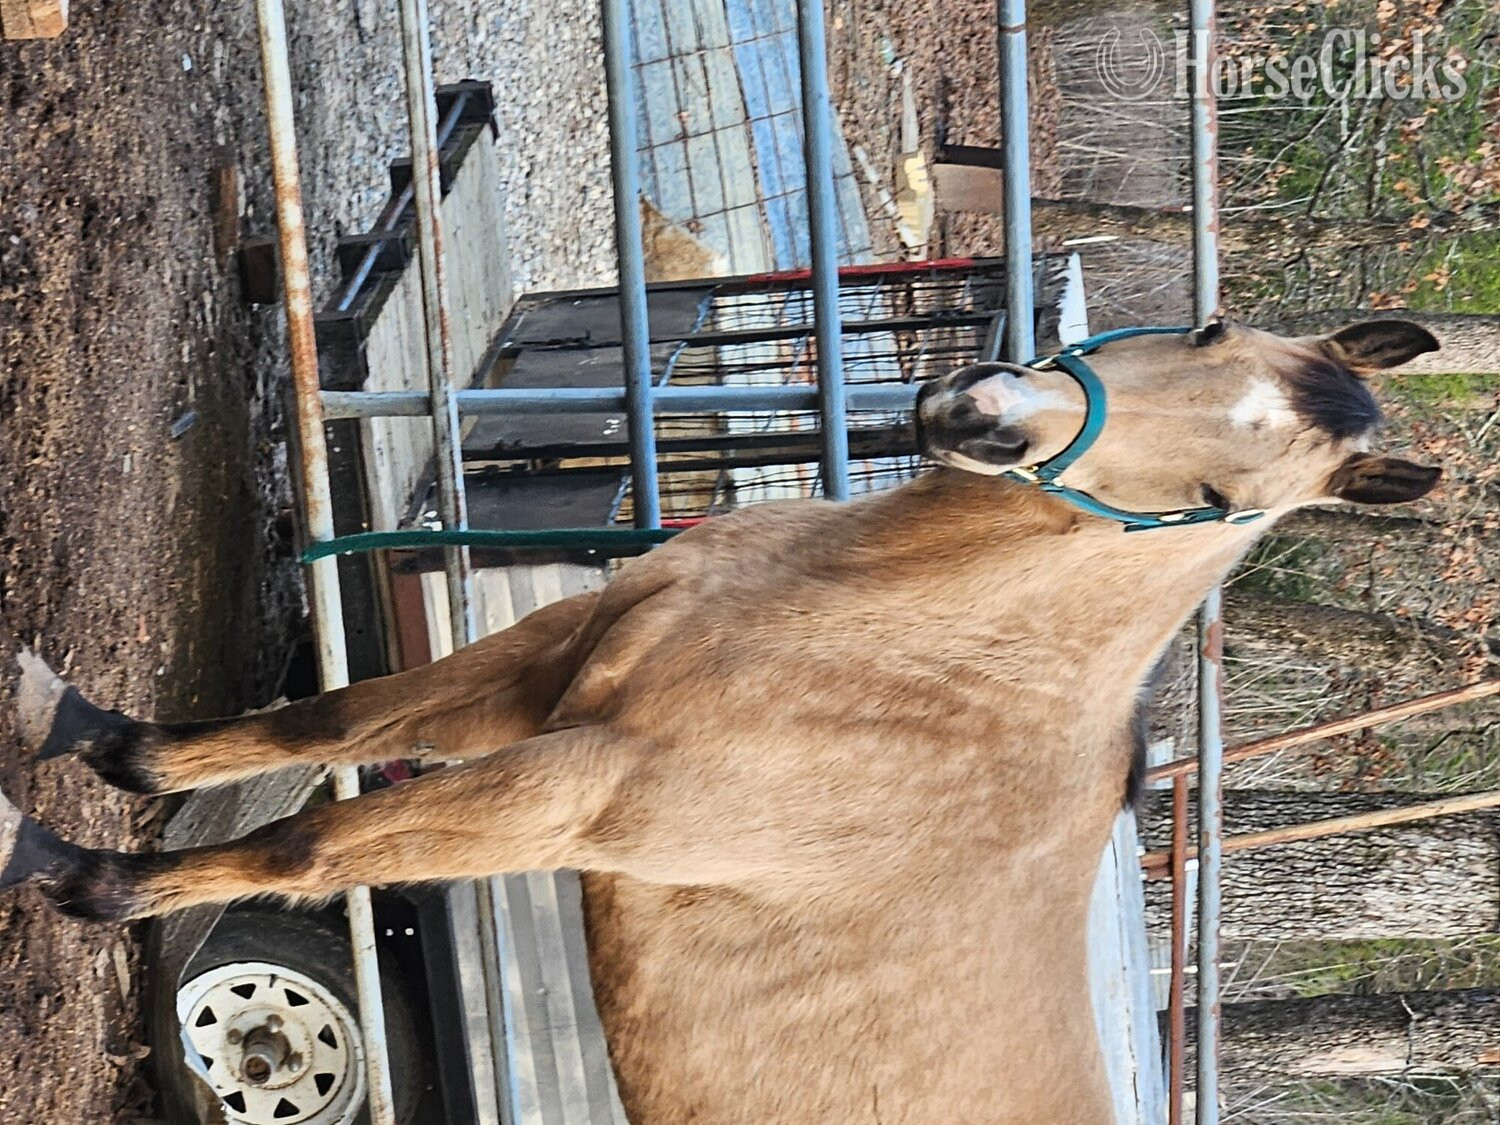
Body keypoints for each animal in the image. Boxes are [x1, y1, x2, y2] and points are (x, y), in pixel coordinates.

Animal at [2, 318, 1441, 1123]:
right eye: (1207, 327)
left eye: (1217, 500)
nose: (980, 413)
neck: (923, 662)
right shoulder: (553, 664)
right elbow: (335, 718)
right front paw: (106, 740)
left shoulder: (570, 787)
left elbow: (309, 849)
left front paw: (76, 875)